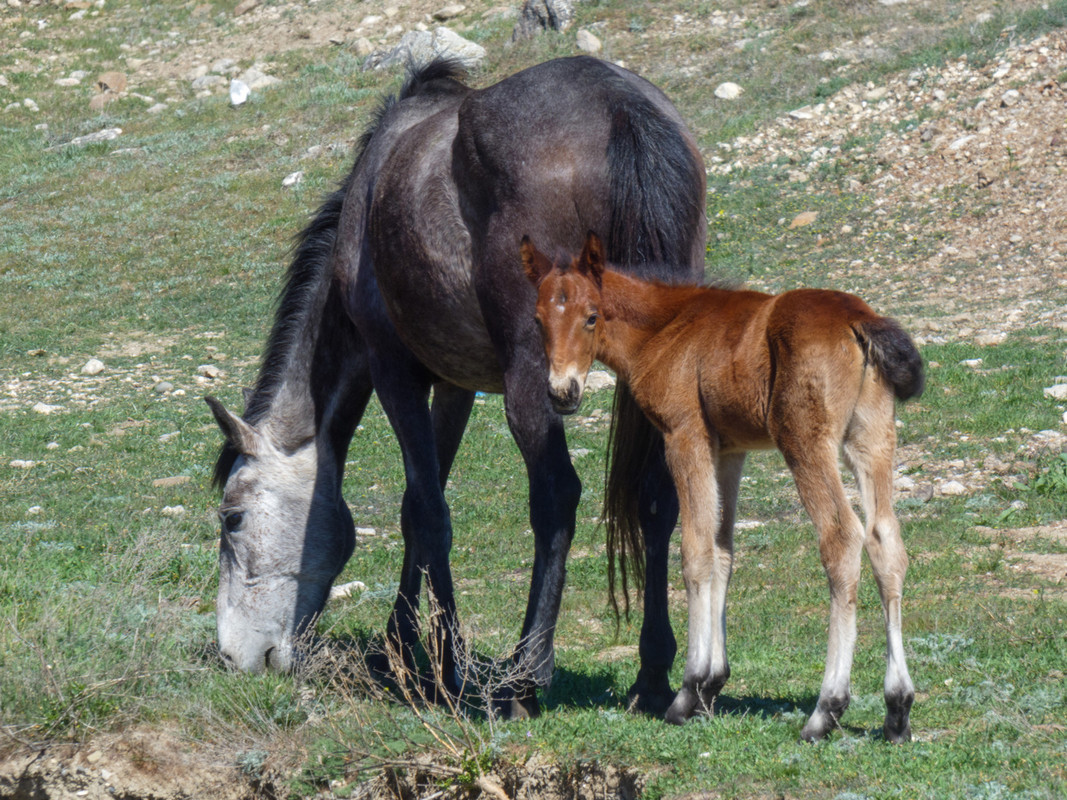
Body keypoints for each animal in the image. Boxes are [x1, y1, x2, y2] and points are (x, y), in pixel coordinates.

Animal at [208, 57, 708, 721]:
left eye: (232, 519)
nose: (232, 658)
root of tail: (620, 107)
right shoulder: (454, 386)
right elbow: (416, 508)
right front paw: (400, 646)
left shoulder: (394, 370)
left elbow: (428, 510)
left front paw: (442, 664)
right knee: (658, 496)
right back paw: (651, 675)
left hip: (531, 383)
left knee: (556, 497)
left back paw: (525, 678)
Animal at [524, 231, 926, 746]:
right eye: (539, 319)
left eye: (591, 315)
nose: (562, 393)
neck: (666, 327)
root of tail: (859, 319)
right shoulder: (729, 450)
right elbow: (722, 551)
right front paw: (712, 685)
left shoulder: (684, 434)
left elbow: (695, 551)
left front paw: (688, 691)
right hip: (872, 437)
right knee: (885, 543)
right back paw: (897, 710)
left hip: (804, 440)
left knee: (841, 539)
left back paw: (826, 709)